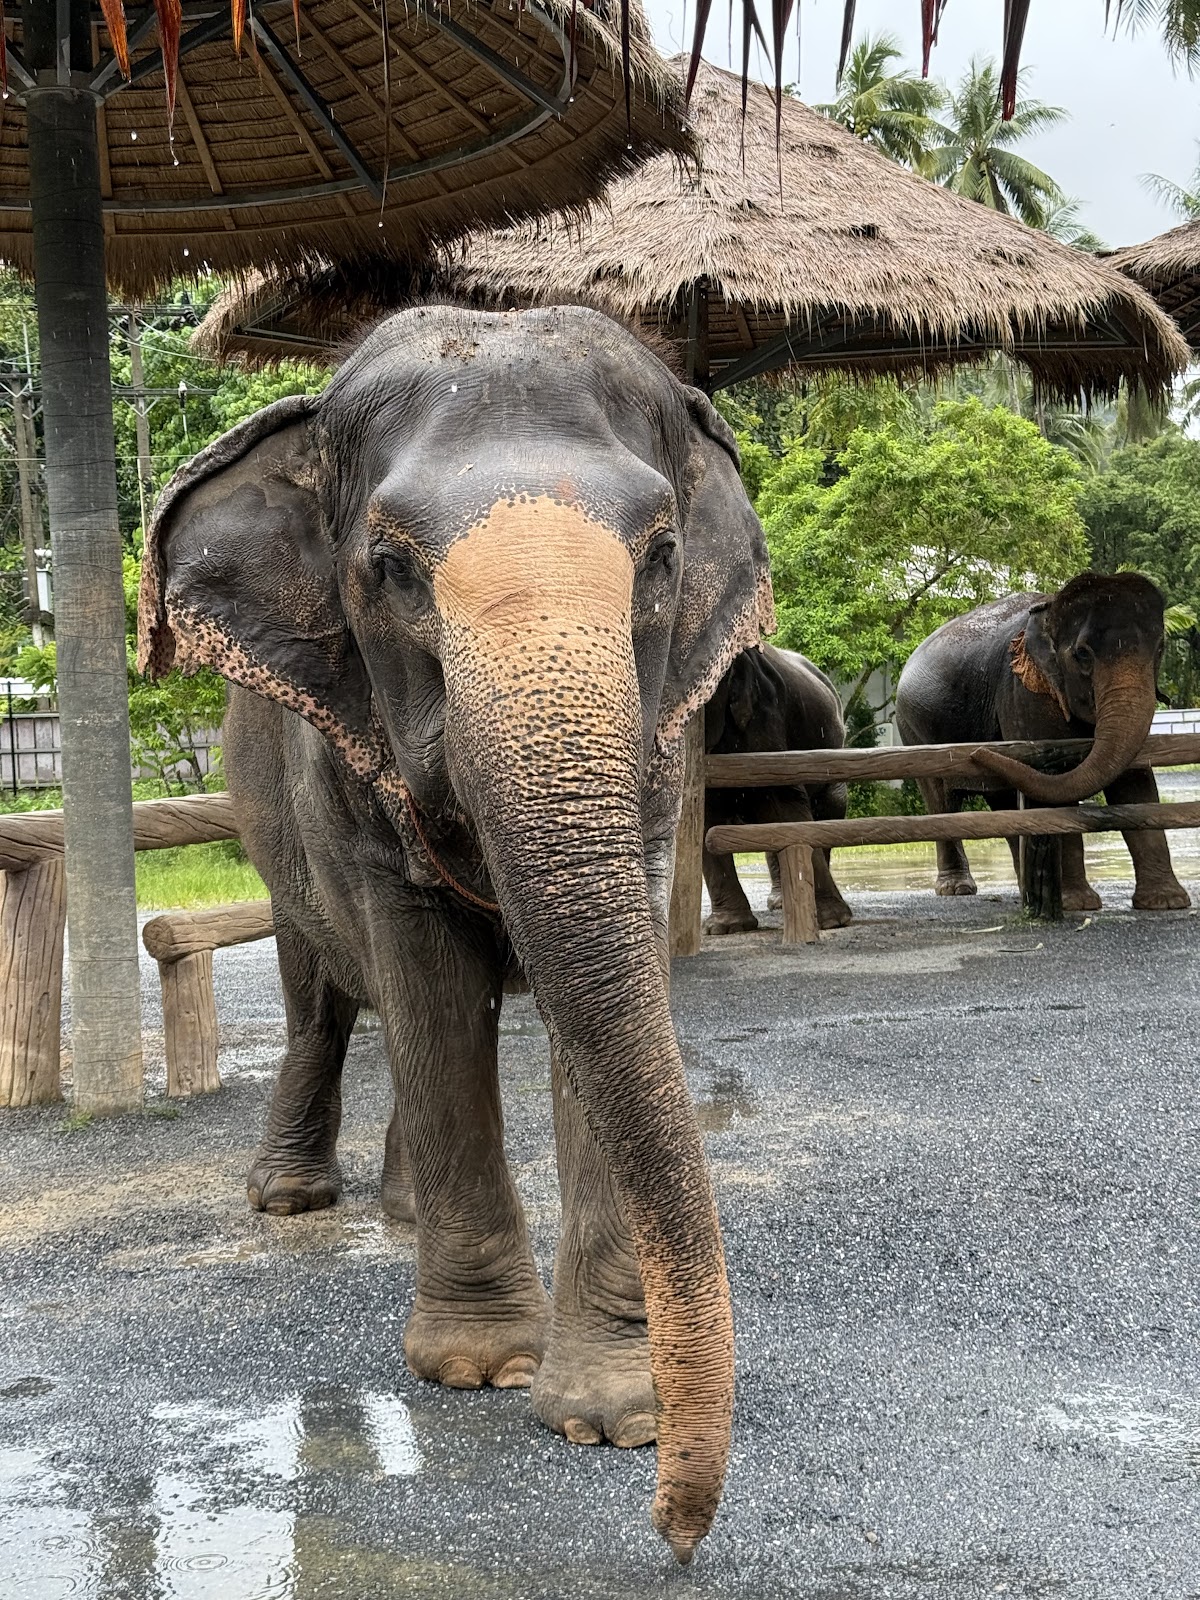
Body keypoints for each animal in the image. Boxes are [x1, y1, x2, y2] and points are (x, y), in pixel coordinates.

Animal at [137, 304, 776, 1562]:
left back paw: (397, 1207)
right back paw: (290, 1198)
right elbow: (425, 975)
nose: (677, 1536)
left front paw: (610, 1417)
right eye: (389, 569)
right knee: (325, 996)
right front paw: (480, 1372)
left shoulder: (662, 755)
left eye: (663, 558)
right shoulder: (341, 763)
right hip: (269, 827)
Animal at [703, 645, 853, 934]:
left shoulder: (765, 715)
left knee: (827, 810)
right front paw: (727, 929)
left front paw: (833, 922)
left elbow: (783, 802)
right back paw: (781, 902)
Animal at [894, 572, 1190, 912]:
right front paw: (1077, 904)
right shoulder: (1024, 693)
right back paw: (957, 888)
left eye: (1160, 648)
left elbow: (1135, 784)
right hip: (911, 728)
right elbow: (1057, 788)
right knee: (941, 800)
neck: (1052, 606)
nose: (978, 752)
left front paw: (1166, 902)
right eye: (1082, 654)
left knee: (1004, 801)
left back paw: (1024, 889)